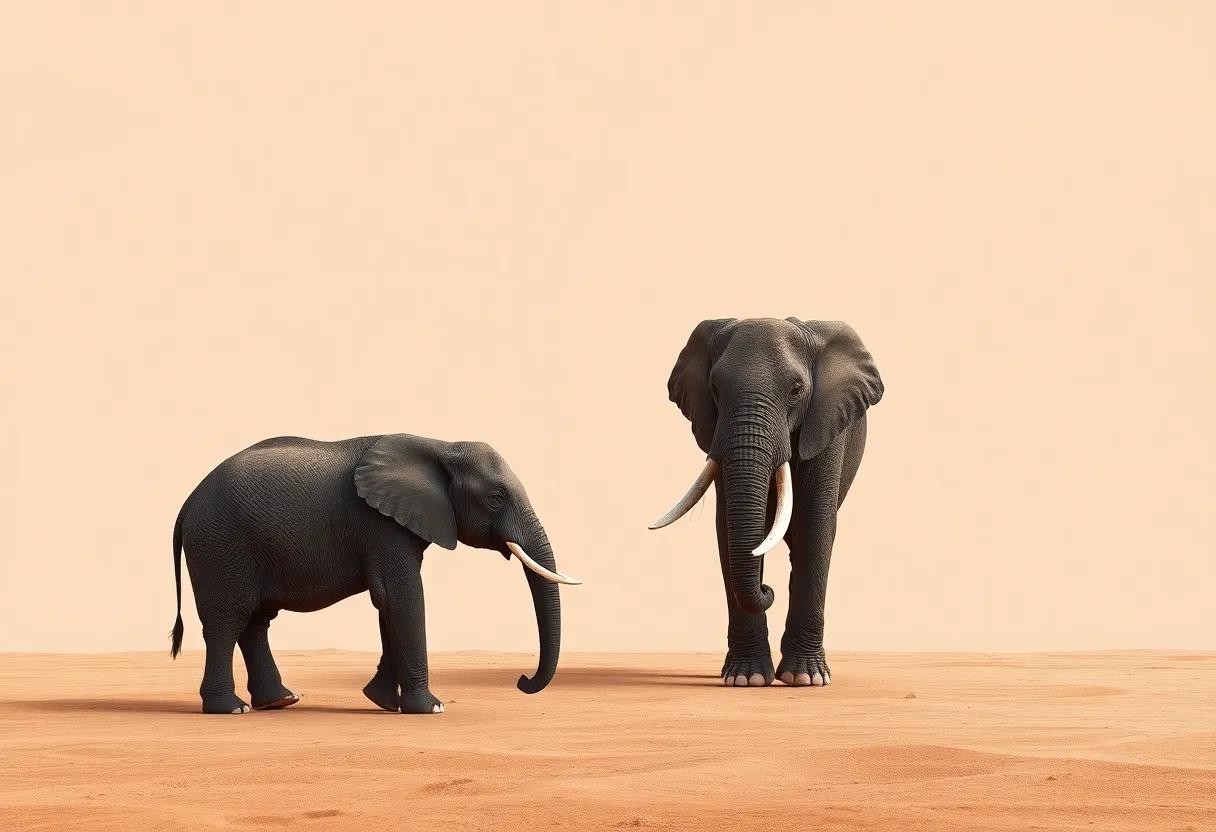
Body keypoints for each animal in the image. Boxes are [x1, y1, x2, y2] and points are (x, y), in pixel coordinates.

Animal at [170, 433, 580, 714]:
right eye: (496, 498)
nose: (522, 681)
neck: (440, 446)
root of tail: (187, 503)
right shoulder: (380, 525)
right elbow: (404, 597)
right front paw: (430, 708)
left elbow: (387, 603)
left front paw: (382, 700)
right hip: (221, 546)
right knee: (227, 621)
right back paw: (232, 708)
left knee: (256, 621)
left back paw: (280, 701)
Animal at [651, 318, 882, 688]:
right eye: (715, 389)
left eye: (796, 390)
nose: (765, 587)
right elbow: (727, 528)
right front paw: (747, 679)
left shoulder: (827, 426)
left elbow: (814, 526)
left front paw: (805, 678)